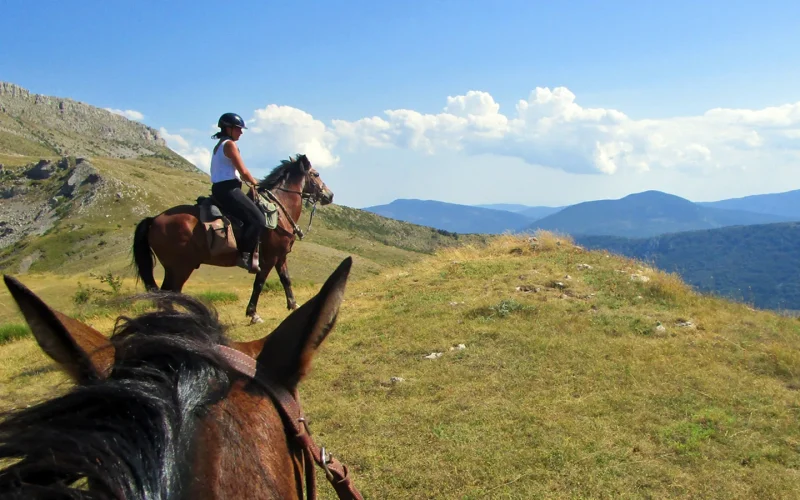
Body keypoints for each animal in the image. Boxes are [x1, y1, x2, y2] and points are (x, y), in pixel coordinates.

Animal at [133, 153, 332, 324]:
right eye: (316, 174)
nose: (330, 195)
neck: (278, 212)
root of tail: (154, 219)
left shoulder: (280, 256)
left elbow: (286, 280)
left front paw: (293, 305)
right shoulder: (268, 258)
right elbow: (259, 283)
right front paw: (253, 314)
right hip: (179, 267)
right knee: (169, 293)